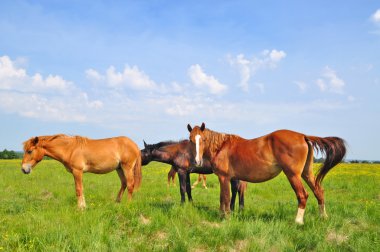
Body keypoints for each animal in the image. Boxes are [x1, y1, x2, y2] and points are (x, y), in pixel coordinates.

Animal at [187, 123, 348, 223]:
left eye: (203, 139)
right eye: (190, 140)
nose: (197, 161)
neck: (222, 146)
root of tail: (303, 135)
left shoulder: (224, 178)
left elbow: (224, 198)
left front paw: (224, 217)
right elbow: (226, 198)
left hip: (293, 175)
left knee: (303, 195)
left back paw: (298, 221)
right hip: (306, 173)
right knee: (319, 192)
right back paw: (323, 217)